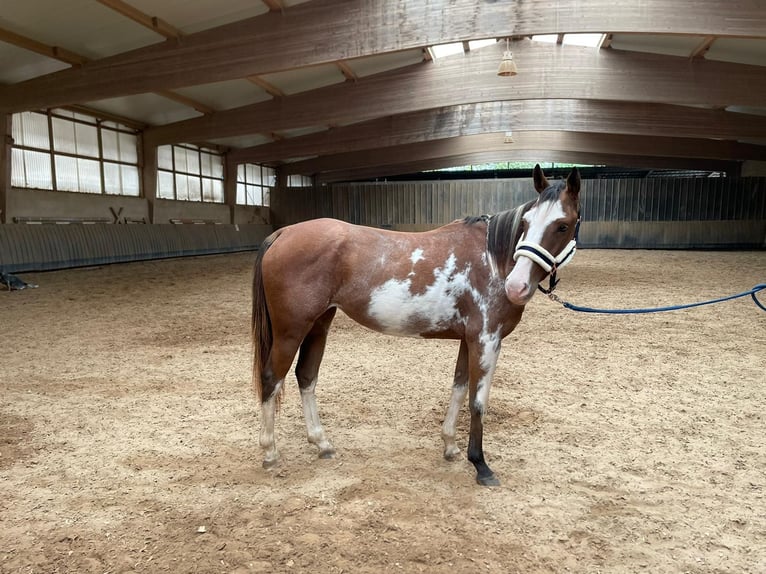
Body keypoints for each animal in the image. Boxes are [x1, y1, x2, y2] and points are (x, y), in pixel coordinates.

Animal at [252, 164, 584, 488]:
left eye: (562, 225)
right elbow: (478, 401)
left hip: (318, 325)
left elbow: (459, 388)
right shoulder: (486, 340)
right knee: (272, 379)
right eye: (526, 223)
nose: (516, 287)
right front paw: (480, 465)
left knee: (306, 376)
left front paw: (450, 446)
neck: (492, 258)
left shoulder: (469, 340)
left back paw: (322, 444)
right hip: (290, 331)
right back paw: (269, 453)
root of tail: (283, 233)